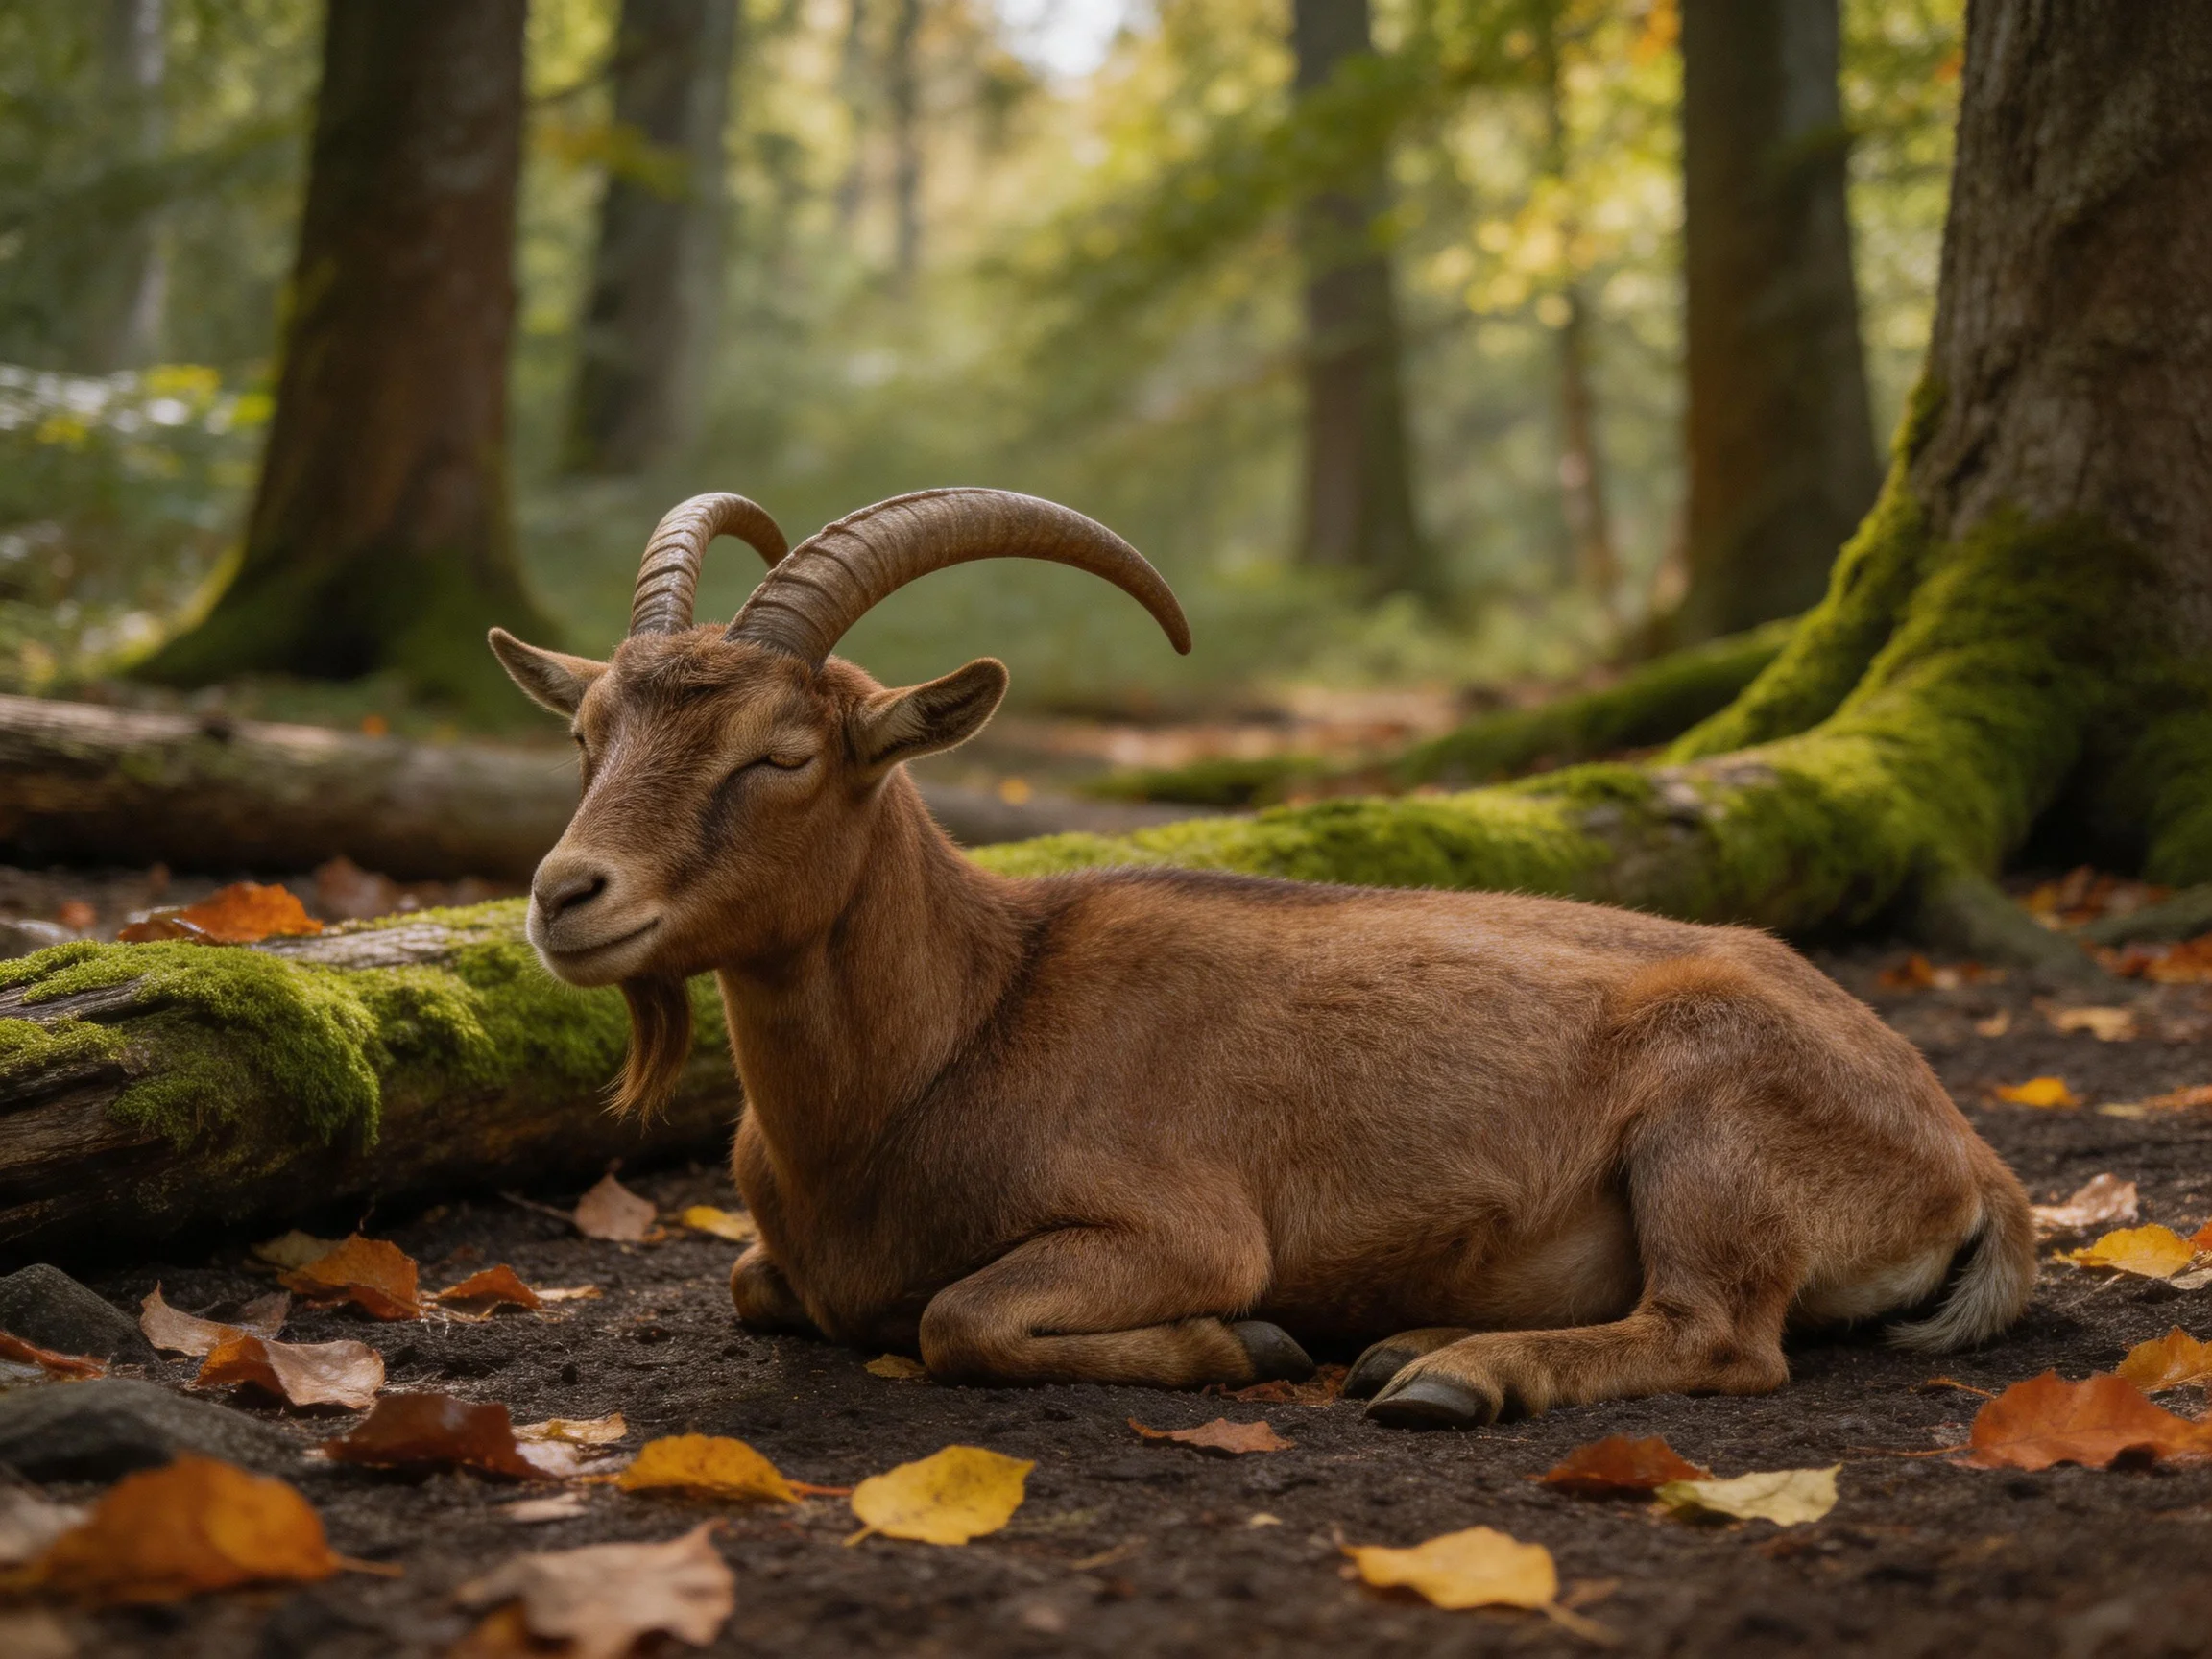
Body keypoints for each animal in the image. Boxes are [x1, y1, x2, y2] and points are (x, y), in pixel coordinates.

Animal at [489, 488, 2036, 1428]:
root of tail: (1966, 1156)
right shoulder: (783, 1259)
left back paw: (1448, 1375)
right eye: (588, 733)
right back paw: (1412, 1350)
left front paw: (1256, 1345)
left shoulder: (1178, 1228)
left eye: (783, 754)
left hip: (1710, 1133)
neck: (959, 1036)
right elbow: (758, 1289)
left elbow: (958, 1320)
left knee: (1722, 1336)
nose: (566, 896)